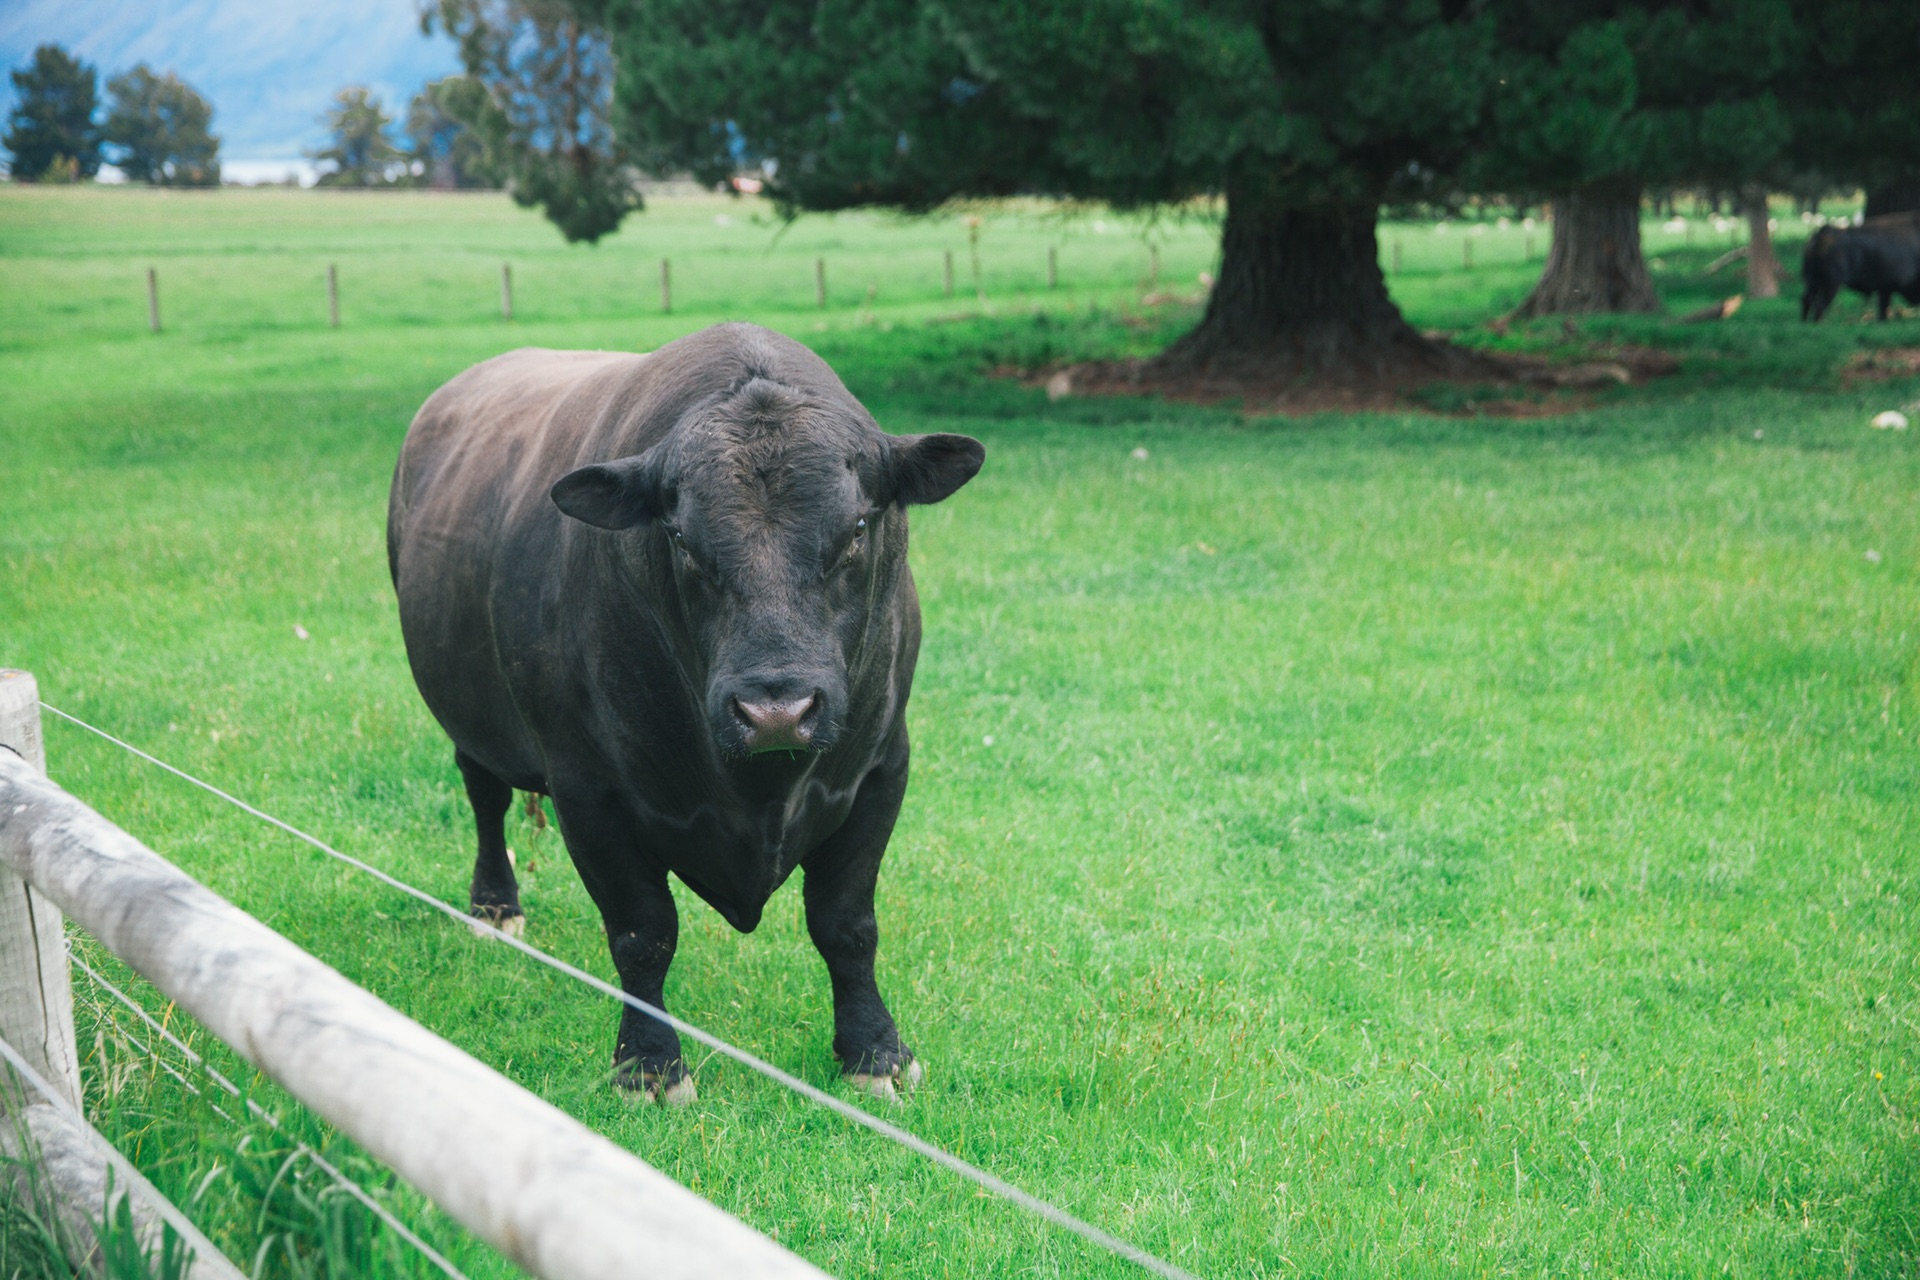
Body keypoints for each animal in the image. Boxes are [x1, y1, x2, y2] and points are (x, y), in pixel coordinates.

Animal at [391, 322, 990, 1105]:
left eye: (858, 527)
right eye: (680, 539)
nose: (775, 709)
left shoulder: (880, 768)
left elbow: (847, 924)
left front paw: (874, 1052)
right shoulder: (589, 790)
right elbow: (642, 933)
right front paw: (648, 1064)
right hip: (471, 712)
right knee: (485, 795)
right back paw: (494, 906)